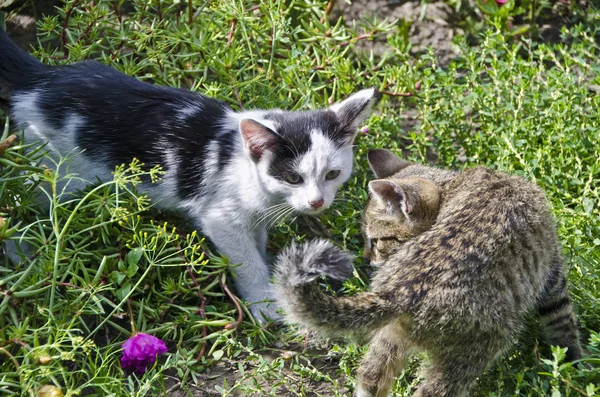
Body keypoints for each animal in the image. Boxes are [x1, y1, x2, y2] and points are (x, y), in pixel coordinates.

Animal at [276, 148, 580, 396]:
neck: (452, 185)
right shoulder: (552, 273)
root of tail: (400, 291)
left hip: (392, 334)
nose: (365, 258)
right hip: (478, 347)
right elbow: (563, 325)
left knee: (370, 377)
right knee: (432, 390)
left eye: (375, 241)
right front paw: (576, 366)